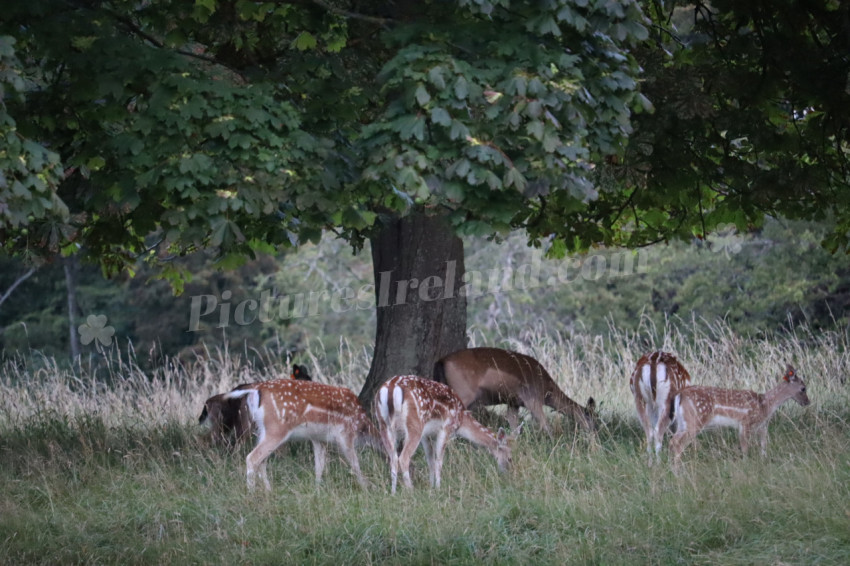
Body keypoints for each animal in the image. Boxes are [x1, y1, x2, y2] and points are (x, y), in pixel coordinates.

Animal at [216, 378, 381, 490]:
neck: (362, 424)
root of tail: (255, 389)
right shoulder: (345, 434)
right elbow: (354, 463)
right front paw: (366, 487)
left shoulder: (318, 439)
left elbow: (319, 465)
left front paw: (317, 489)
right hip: (276, 428)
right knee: (252, 457)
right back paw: (252, 493)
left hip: (262, 428)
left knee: (262, 460)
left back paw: (269, 491)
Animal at [374, 374, 521, 494]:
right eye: (510, 458)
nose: (510, 474)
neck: (461, 419)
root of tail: (391, 388)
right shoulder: (446, 427)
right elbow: (439, 460)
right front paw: (438, 488)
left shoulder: (426, 435)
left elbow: (430, 460)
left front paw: (431, 486)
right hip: (414, 425)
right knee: (403, 457)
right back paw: (411, 490)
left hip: (383, 424)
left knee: (393, 457)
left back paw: (393, 493)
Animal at [433, 347, 596, 436]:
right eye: (591, 416)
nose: (594, 432)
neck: (547, 389)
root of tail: (441, 361)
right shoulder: (532, 398)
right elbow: (545, 426)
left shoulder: (513, 403)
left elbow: (514, 429)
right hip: (463, 393)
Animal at [669, 364, 810, 468]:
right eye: (803, 388)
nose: (807, 402)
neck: (765, 405)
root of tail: (680, 394)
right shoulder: (745, 422)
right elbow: (745, 447)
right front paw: (746, 464)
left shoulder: (762, 425)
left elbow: (763, 445)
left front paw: (763, 461)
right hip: (695, 420)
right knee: (678, 442)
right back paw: (677, 471)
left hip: (683, 422)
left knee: (673, 440)